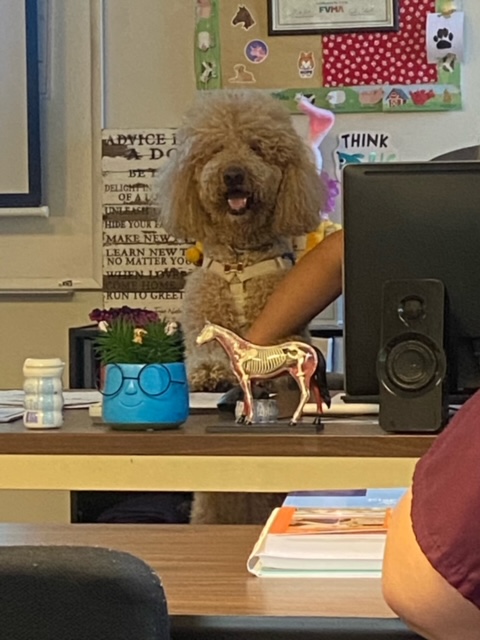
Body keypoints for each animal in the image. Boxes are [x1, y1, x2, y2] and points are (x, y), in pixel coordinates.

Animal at [158, 89, 326, 520]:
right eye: (215, 149)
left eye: (256, 147)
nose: (233, 173)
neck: (239, 259)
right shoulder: (201, 325)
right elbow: (203, 359)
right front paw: (210, 375)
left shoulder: (289, 330)